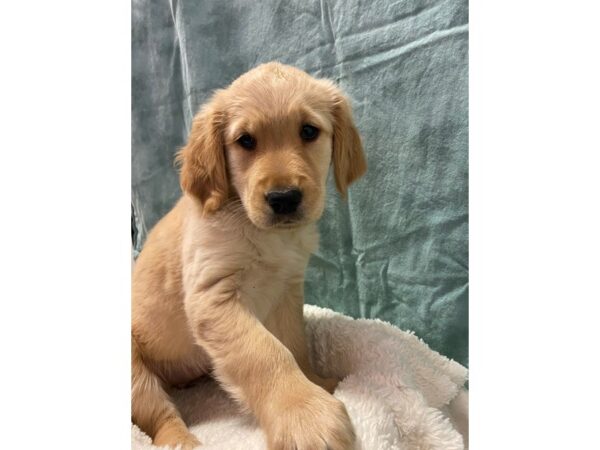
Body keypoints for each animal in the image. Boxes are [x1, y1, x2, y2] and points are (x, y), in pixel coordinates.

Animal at [131, 62, 366, 450]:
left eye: (308, 131)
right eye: (245, 141)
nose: (284, 198)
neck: (264, 234)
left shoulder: (286, 291)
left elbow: (294, 345)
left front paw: (317, 383)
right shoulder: (214, 297)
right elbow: (265, 353)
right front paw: (305, 416)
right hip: (135, 372)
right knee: (160, 416)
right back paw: (181, 440)